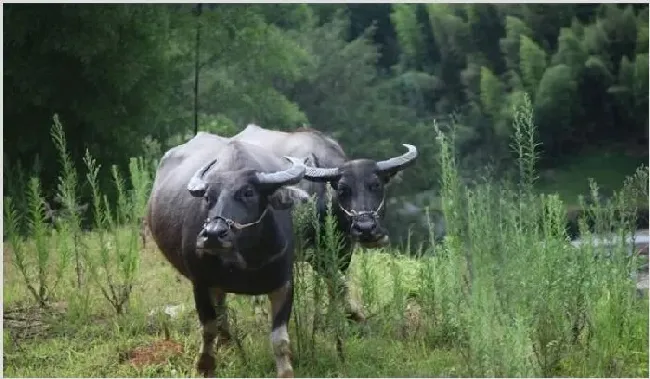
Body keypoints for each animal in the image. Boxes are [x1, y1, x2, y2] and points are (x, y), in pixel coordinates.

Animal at [146, 133, 308, 378]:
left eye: (248, 192)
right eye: (207, 197)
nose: (213, 234)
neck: (245, 260)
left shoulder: (284, 284)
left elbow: (279, 339)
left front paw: (286, 371)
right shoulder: (200, 282)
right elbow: (208, 328)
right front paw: (205, 366)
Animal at [232, 124, 416, 324]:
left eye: (376, 185)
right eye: (343, 189)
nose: (366, 229)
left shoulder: (343, 252)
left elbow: (335, 286)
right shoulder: (312, 253)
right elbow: (339, 283)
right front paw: (354, 313)